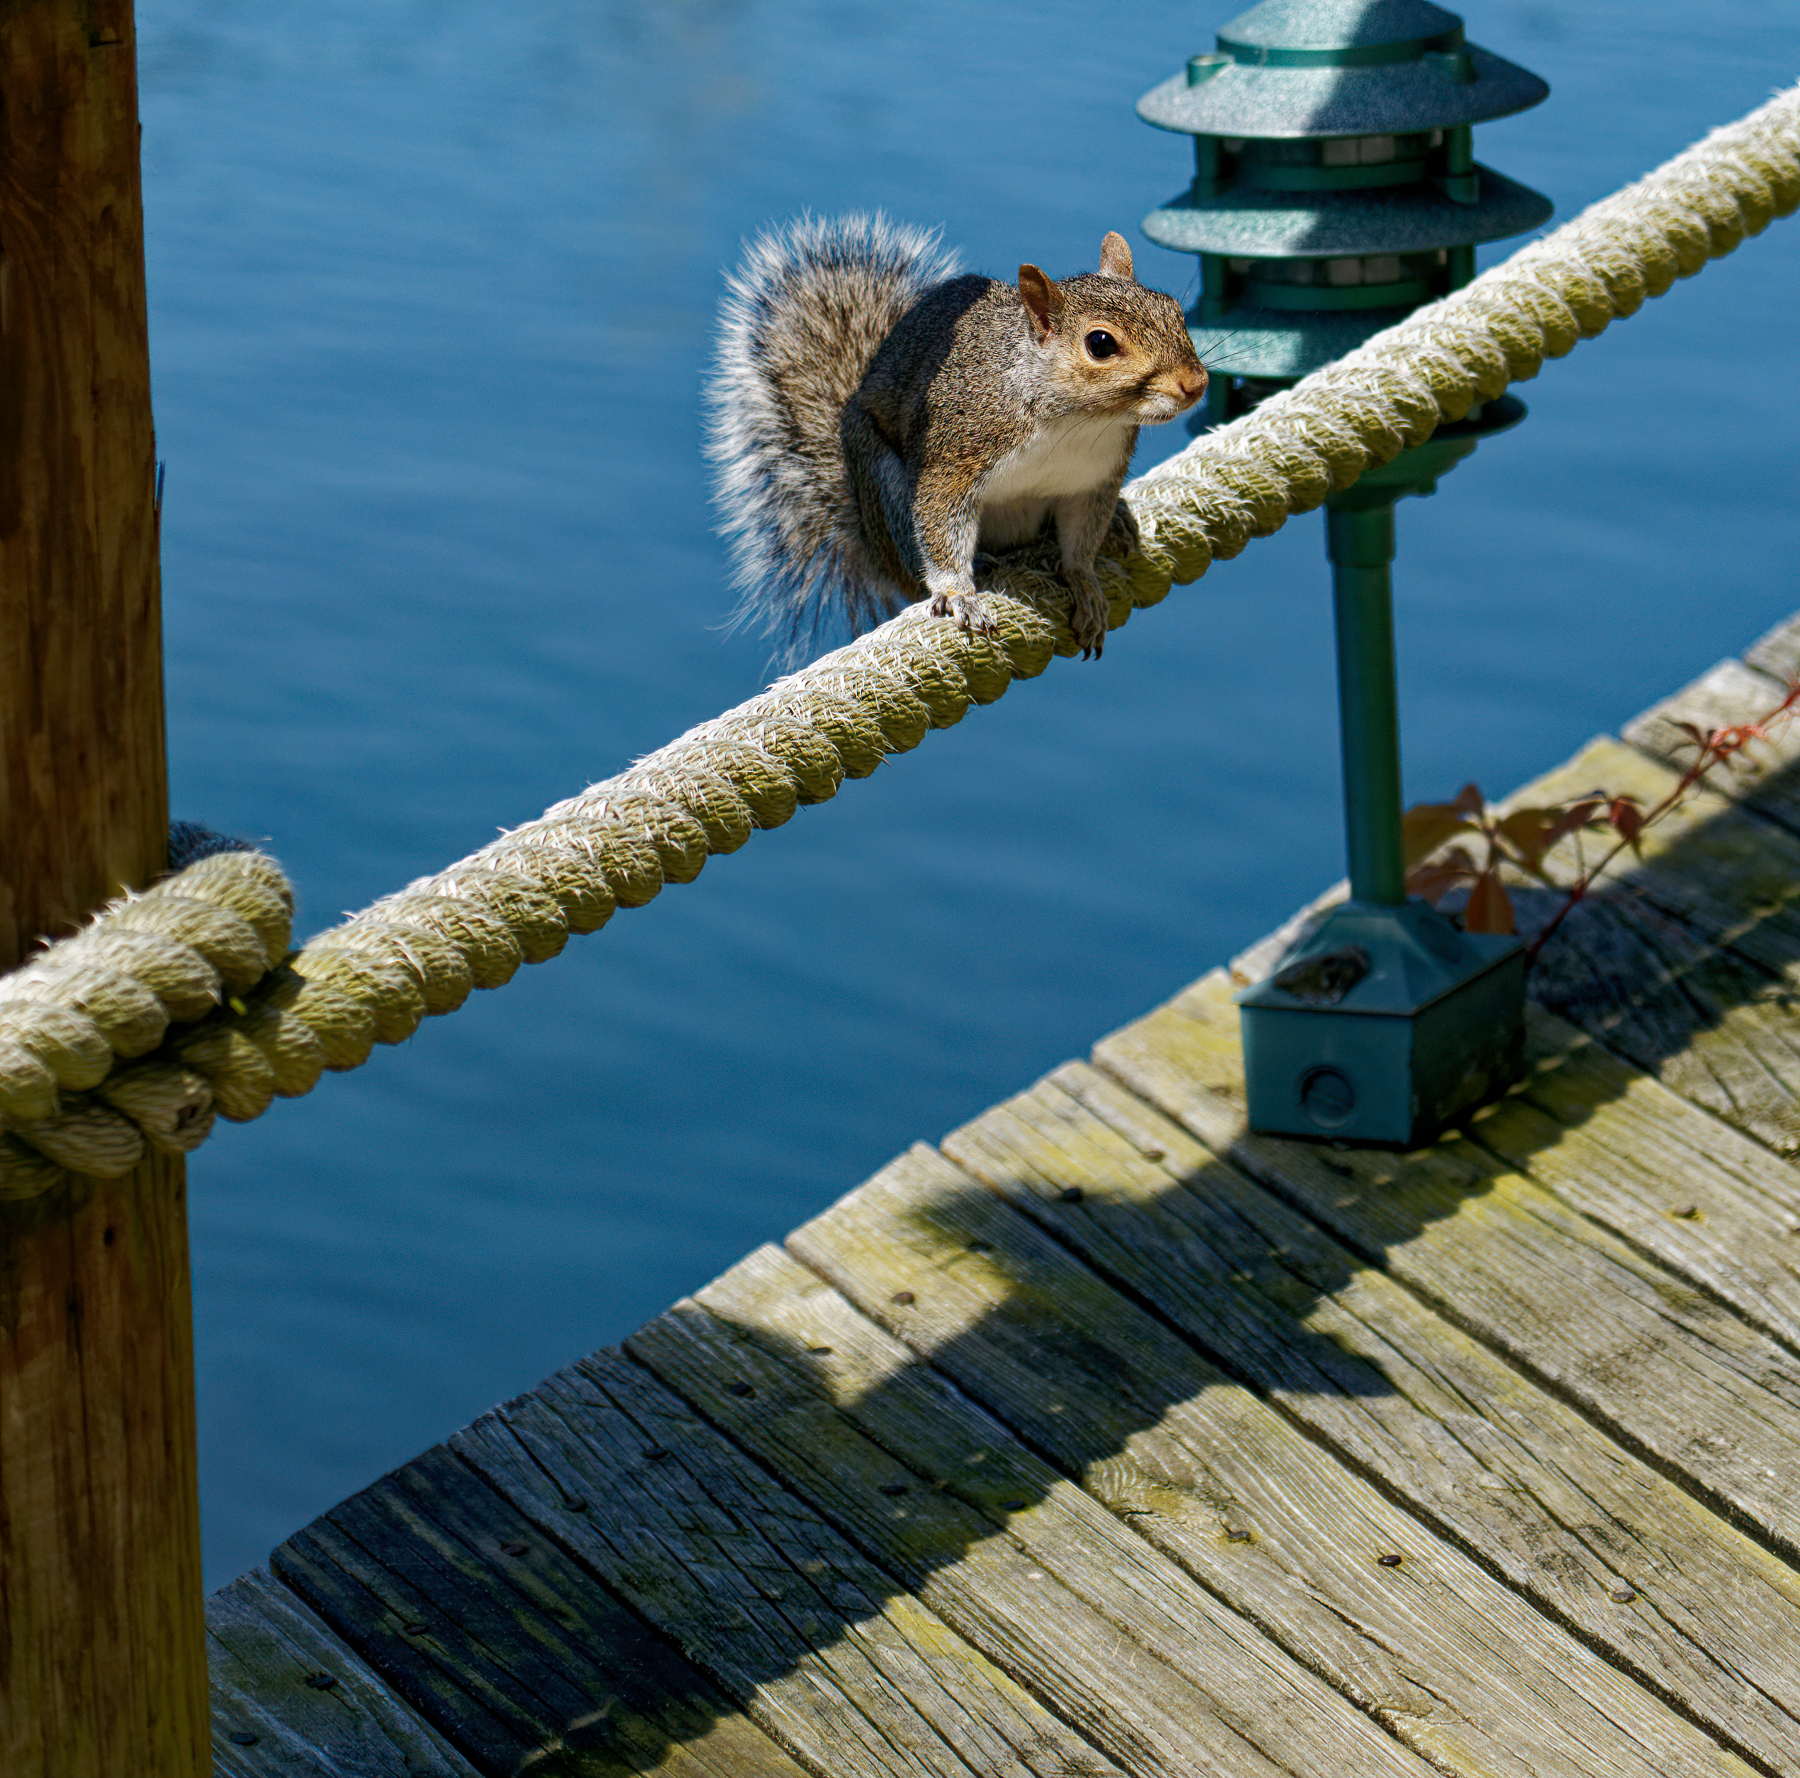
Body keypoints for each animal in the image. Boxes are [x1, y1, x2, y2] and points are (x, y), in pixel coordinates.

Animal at [705, 215, 1209, 658]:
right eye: (1100, 344)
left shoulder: (1093, 482)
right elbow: (940, 522)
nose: (1195, 384)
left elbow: (1081, 542)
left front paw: (1085, 584)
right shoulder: (955, 457)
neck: (1076, 421)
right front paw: (958, 593)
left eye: (1174, 310)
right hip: (884, 488)